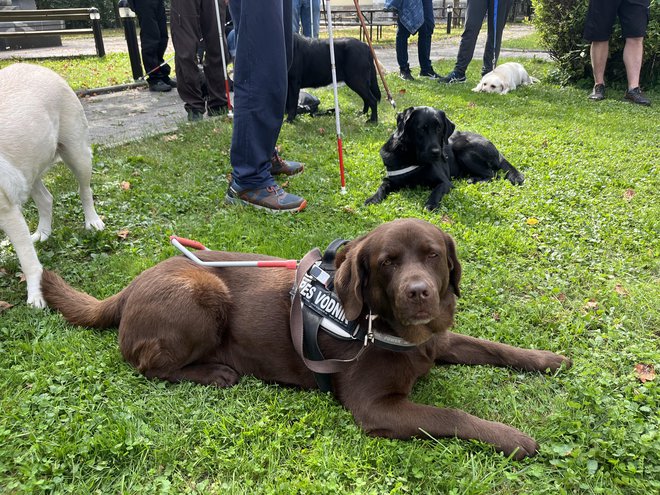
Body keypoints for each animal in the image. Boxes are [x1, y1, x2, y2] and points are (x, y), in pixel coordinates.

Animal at [0, 64, 104, 308]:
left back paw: (92, 221)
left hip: (76, 152)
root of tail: (38, 67)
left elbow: (28, 260)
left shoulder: (7, 211)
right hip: (29, 168)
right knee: (46, 199)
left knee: (85, 190)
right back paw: (42, 233)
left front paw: (36, 296)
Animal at [366, 105, 524, 210]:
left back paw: (473, 180)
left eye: (439, 128)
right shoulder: (392, 179)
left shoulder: (445, 182)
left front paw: (431, 204)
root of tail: (496, 149)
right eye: (421, 129)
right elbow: (382, 185)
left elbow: (436, 190)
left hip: (463, 150)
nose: (437, 152)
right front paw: (373, 198)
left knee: (493, 174)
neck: (413, 158)